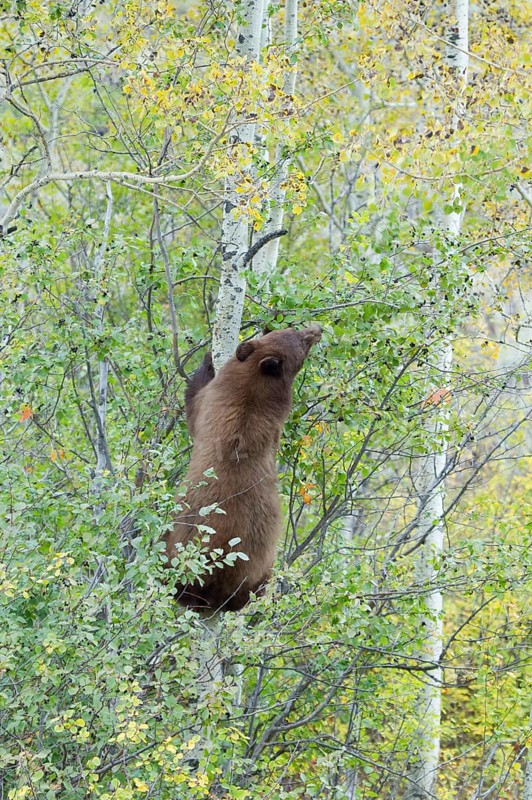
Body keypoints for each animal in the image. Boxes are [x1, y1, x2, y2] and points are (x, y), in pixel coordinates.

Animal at [164, 325, 322, 612]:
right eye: (299, 336)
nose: (317, 330)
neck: (255, 381)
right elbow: (194, 406)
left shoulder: (217, 400)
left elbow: (193, 406)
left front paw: (206, 360)